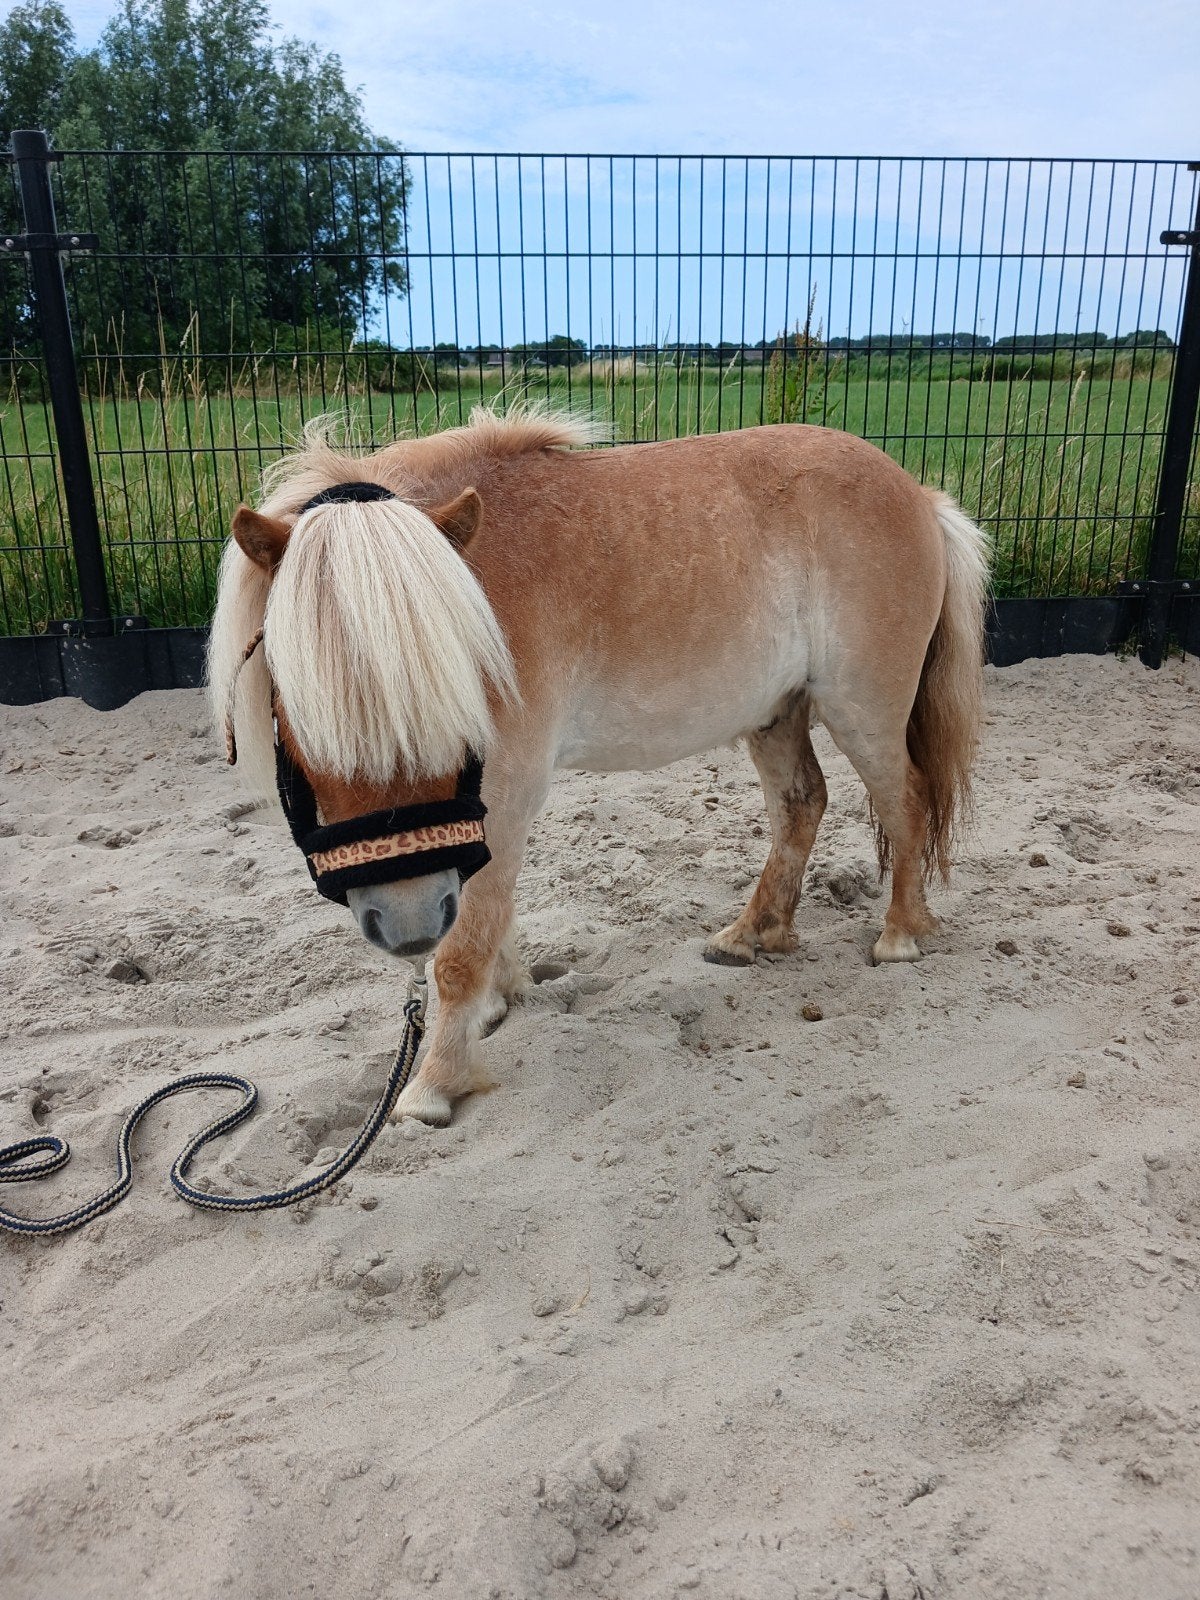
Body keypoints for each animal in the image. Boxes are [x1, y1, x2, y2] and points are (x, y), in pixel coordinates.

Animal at [209, 408, 989, 1125]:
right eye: (297, 705)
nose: (405, 924)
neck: (479, 595)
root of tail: (916, 493)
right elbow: (491, 914)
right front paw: (501, 1001)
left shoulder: (505, 791)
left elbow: (463, 949)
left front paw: (434, 1084)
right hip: (777, 714)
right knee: (803, 802)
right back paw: (752, 935)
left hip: (864, 710)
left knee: (906, 800)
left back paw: (900, 935)